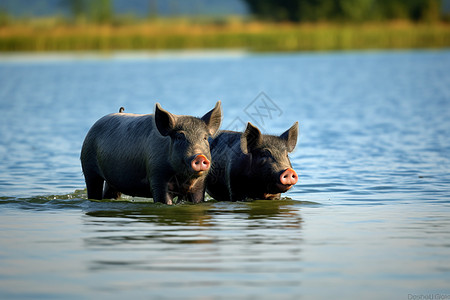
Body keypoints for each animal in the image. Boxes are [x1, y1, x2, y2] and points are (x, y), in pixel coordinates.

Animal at [81, 102, 223, 205]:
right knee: (93, 188)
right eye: (179, 137)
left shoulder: (201, 183)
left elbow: (198, 199)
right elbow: (163, 199)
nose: (199, 156)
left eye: (205, 138)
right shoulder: (157, 174)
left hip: (112, 180)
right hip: (88, 167)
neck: (182, 177)